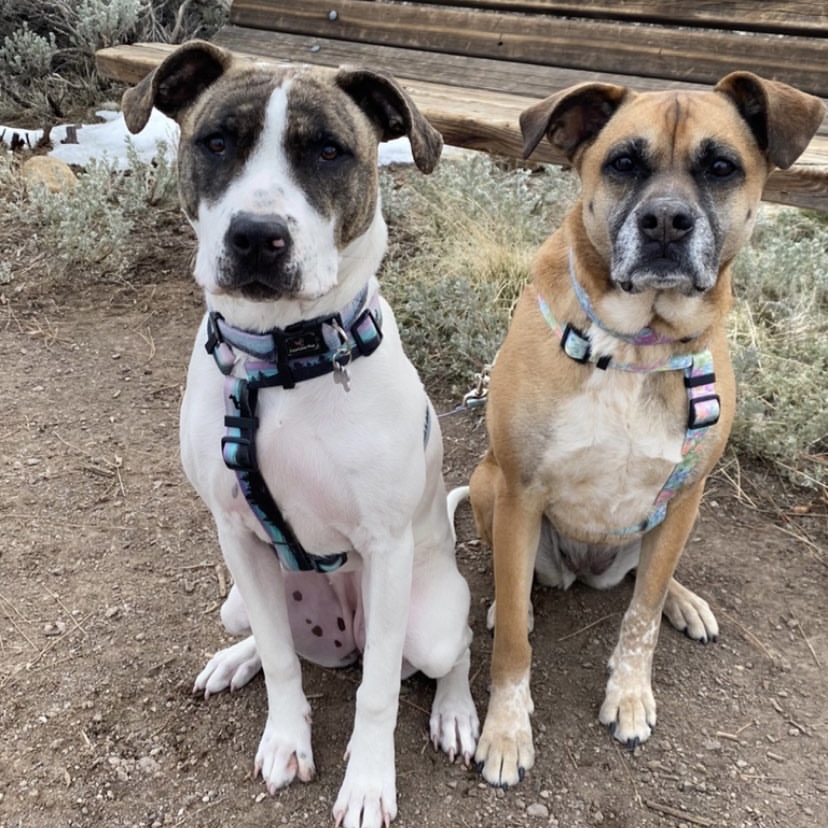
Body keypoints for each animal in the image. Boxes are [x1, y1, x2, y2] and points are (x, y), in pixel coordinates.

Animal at [119, 40, 476, 828]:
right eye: (217, 141)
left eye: (329, 151)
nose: (256, 236)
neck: (281, 362)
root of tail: (343, 637)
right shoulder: (236, 531)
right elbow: (283, 663)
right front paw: (286, 738)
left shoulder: (386, 547)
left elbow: (378, 693)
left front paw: (369, 782)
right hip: (239, 597)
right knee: (269, 636)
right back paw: (236, 659)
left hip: (429, 616)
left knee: (452, 650)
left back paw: (457, 711)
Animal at [468, 69, 824, 784]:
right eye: (623, 163)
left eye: (721, 166)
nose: (665, 221)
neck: (637, 344)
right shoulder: (520, 492)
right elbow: (517, 638)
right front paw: (506, 731)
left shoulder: (683, 493)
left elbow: (643, 616)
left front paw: (629, 693)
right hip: (486, 484)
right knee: (516, 585)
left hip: (678, 514)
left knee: (647, 581)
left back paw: (685, 600)